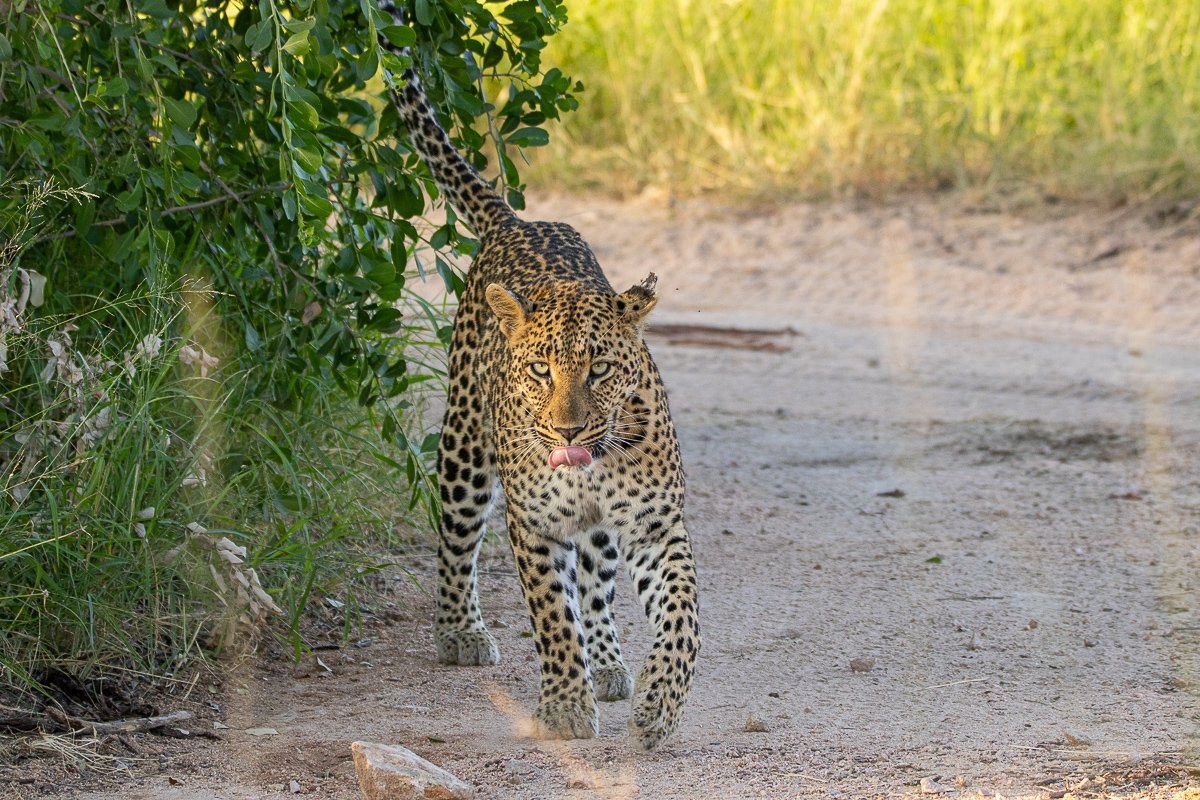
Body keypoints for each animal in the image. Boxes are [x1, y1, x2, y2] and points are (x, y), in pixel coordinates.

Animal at [380, 18, 700, 751]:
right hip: (464, 452)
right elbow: (552, 617)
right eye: (539, 371)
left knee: (598, 585)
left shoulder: (655, 527)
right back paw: (460, 632)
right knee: (456, 540)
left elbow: (681, 618)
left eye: (600, 369)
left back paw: (608, 664)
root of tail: (518, 220)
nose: (567, 430)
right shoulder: (534, 525)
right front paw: (563, 707)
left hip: (602, 531)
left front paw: (659, 704)